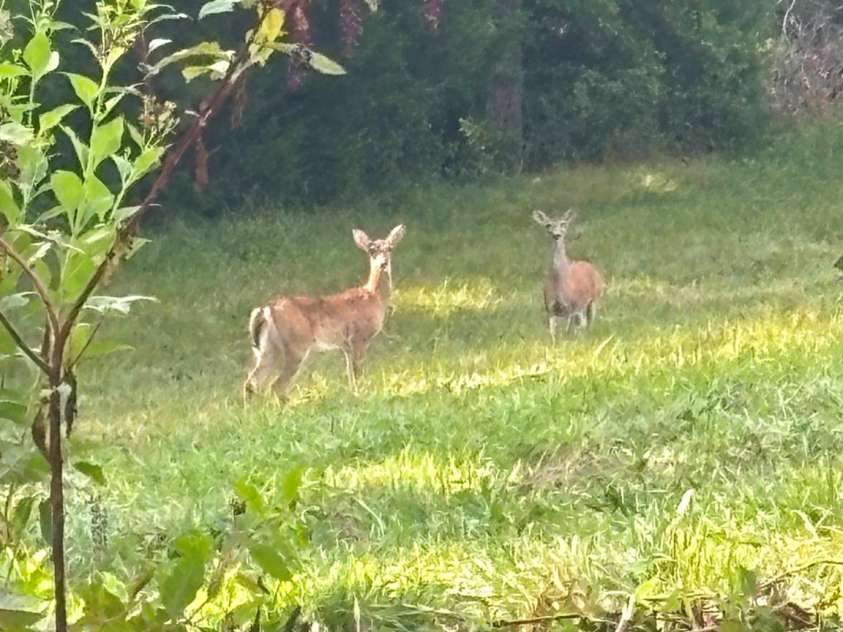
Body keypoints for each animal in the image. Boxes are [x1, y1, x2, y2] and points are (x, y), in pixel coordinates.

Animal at [243, 224, 406, 399]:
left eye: (389, 248)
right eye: (371, 250)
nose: (383, 263)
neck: (374, 297)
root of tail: (266, 309)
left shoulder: (346, 346)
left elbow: (350, 375)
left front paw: (353, 394)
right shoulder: (359, 338)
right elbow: (358, 373)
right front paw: (362, 394)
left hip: (267, 349)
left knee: (251, 383)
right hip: (296, 346)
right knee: (276, 386)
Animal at [532, 209, 604, 341]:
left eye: (563, 224)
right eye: (548, 225)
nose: (556, 235)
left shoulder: (576, 307)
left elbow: (575, 330)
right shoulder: (550, 309)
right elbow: (552, 333)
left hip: (594, 299)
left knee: (588, 323)